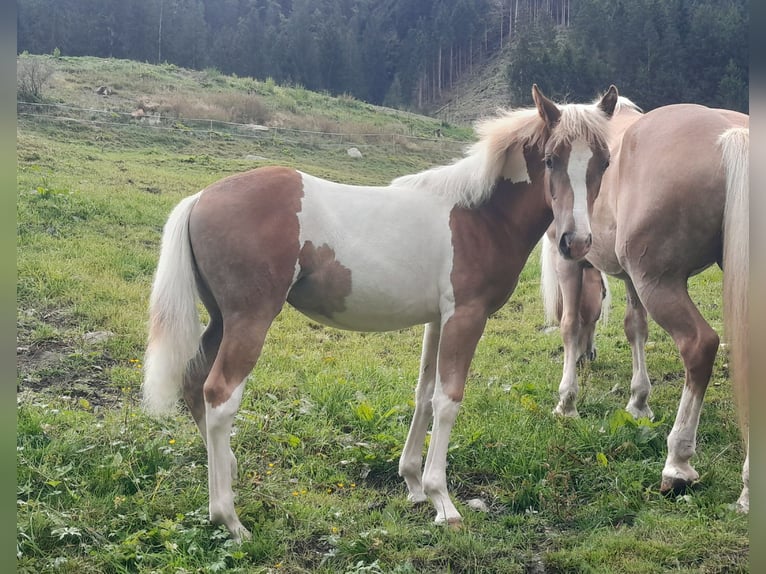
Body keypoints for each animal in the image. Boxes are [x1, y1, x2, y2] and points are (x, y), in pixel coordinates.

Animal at [141, 84, 619, 540]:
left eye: (604, 162)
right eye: (551, 160)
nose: (576, 242)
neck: (481, 215)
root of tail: (201, 196)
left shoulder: (438, 319)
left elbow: (424, 394)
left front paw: (414, 486)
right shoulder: (466, 317)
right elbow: (448, 400)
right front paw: (444, 502)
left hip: (222, 320)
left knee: (194, 381)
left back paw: (229, 471)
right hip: (249, 321)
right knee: (219, 395)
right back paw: (229, 519)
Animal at [540, 97, 749, 511]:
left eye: (550, 160)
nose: (590, 356)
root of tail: (731, 135)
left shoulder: (568, 259)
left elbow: (569, 325)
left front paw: (567, 403)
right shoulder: (630, 278)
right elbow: (635, 327)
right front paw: (638, 403)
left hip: (660, 284)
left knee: (699, 346)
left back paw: (677, 464)